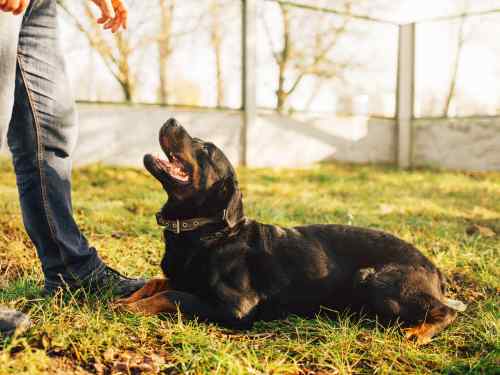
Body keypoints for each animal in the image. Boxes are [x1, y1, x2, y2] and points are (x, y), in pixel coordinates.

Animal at [115, 119, 466, 346]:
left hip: (373, 278)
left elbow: (173, 295)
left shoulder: (236, 307)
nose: (171, 118)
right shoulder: (181, 277)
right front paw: (128, 299)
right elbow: (157, 282)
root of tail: (435, 269)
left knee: (447, 311)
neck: (207, 230)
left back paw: (418, 332)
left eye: (207, 150)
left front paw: (135, 307)